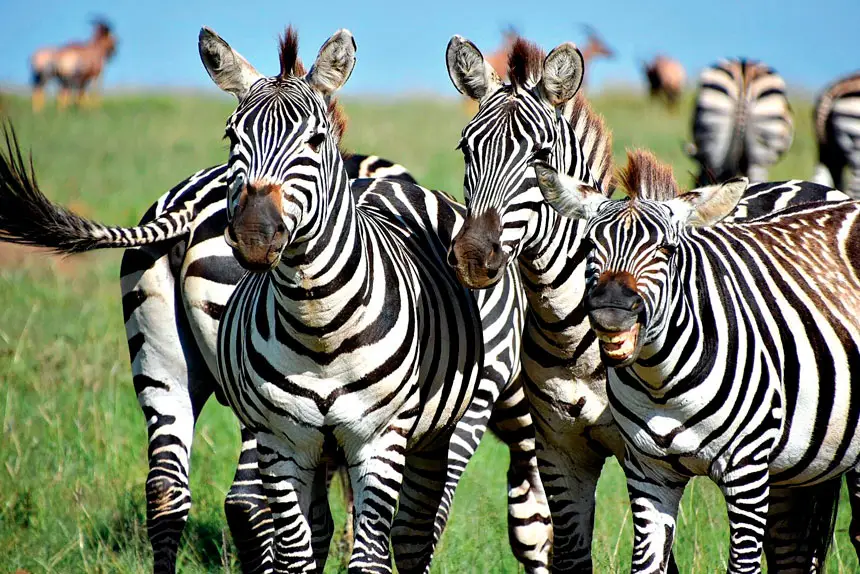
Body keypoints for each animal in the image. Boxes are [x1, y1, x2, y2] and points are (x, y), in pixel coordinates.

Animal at [534, 148, 860, 573]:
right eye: (590, 246)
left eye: (667, 250)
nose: (610, 312)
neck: (661, 381)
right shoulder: (648, 474)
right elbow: (646, 563)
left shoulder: (748, 471)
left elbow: (742, 565)